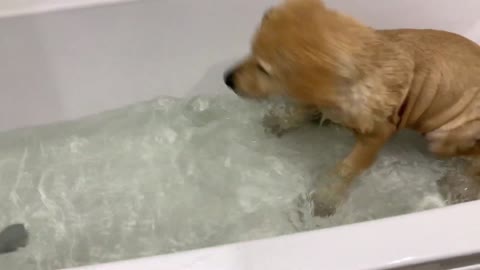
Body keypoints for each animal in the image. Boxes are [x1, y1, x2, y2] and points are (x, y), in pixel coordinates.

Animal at [223, 0, 480, 216]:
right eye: (251, 52)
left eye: (264, 69)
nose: (227, 79)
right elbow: (304, 107)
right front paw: (283, 120)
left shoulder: (376, 136)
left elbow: (346, 168)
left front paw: (325, 198)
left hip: (442, 138)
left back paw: (460, 184)